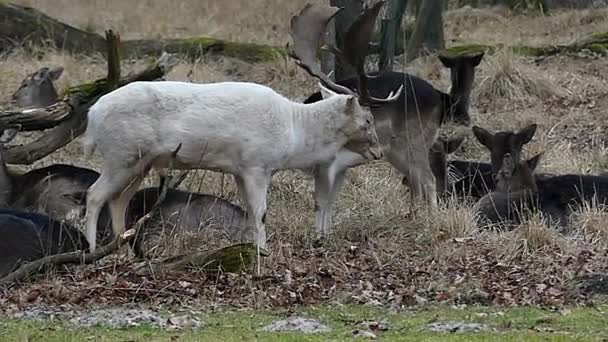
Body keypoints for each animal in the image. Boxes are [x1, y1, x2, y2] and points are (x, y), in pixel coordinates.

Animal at [82, 4, 404, 254]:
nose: (378, 151)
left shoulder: (237, 170)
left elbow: (250, 212)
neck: (294, 131)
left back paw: (123, 252)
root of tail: (91, 115)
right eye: (368, 120)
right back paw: (92, 249)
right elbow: (261, 213)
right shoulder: (256, 165)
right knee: (95, 194)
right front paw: (263, 252)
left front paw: (249, 247)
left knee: (118, 200)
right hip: (121, 153)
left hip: (140, 162)